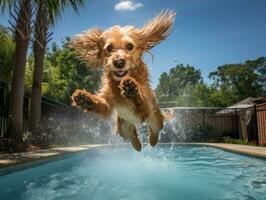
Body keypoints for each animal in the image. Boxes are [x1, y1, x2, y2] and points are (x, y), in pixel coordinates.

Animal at [69, 10, 176, 151]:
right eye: (109, 48)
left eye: (130, 46)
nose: (119, 62)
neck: (119, 82)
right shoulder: (107, 102)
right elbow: (101, 104)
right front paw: (85, 99)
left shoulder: (146, 107)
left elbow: (141, 103)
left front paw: (132, 91)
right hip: (124, 126)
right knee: (131, 135)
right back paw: (137, 146)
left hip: (155, 120)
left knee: (155, 130)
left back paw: (152, 141)